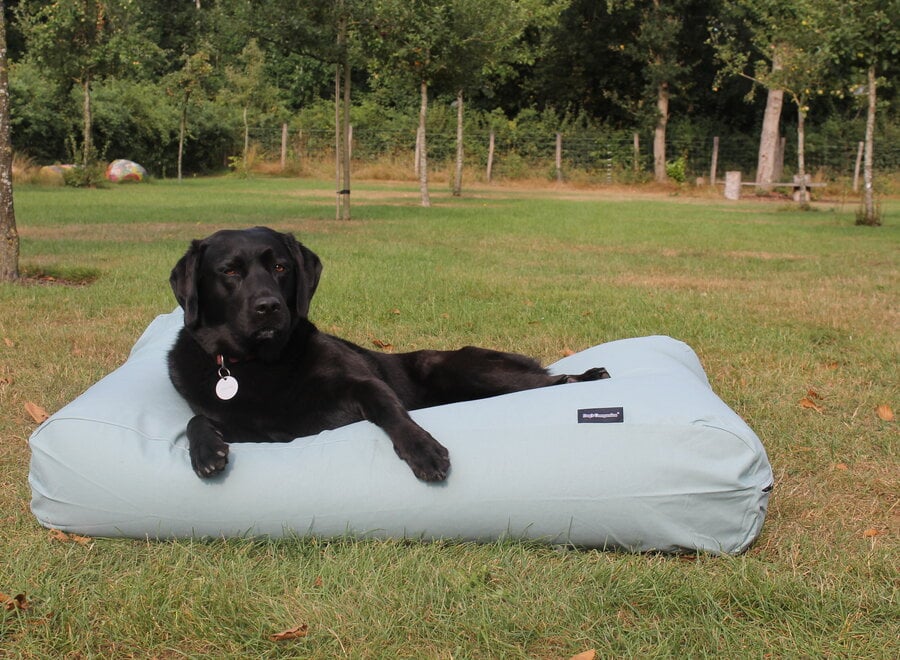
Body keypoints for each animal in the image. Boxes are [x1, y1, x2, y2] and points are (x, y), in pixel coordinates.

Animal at [167, 229, 612, 482]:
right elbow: (196, 420)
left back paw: (589, 375)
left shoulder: (363, 383)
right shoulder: (253, 429)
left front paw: (424, 449)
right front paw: (206, 452)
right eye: (229, 271)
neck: (261, 363)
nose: (269, 307)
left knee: (546, 382)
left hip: (466, 369)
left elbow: (390, 409)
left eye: (279, 267)